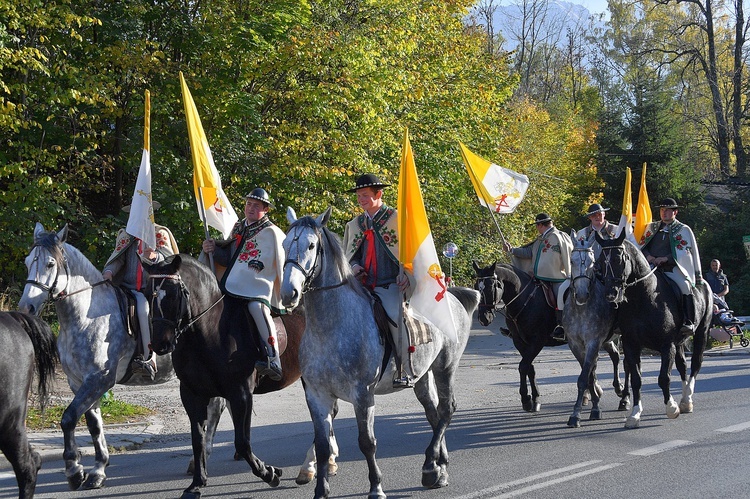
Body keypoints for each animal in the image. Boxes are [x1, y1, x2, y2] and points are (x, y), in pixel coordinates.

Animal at [280, 208, 478, 499]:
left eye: (311, 245)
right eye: (284, 245)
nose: (289, 293)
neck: (330, 327)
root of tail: (450, 294)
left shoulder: (363, 394)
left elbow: (367, 442)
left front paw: (376, 487)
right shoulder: (317, 395)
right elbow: (323, 445)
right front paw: (321, 490)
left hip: (446, 367)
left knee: (446, 410)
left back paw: (430, 467)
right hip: (423, 374)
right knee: (433, 413)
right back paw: (439, 467)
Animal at [476, 262, 628, 414]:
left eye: (491, 287)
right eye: (476, 287)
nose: (483, 318)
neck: (525, 300)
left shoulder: (537, 341)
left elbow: (523, 366)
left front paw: (526, 399)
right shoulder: (520, 342)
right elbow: (530, 369)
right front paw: (535, 399)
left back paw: (620, 394)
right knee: (611, 356)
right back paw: (602, 391)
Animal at [596, 231, 712, 430]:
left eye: (619, 258)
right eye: (601, 261)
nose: (611, 294)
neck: (644, 298)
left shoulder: (666, 346)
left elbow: (663, 378)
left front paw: (671, 407)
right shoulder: (631, 345)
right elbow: (637, 379)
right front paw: (634, 414)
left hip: (701, 333)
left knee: (696, 363)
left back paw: (687, 398)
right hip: (679, 343)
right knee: (683, 366)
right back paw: (684, 400)